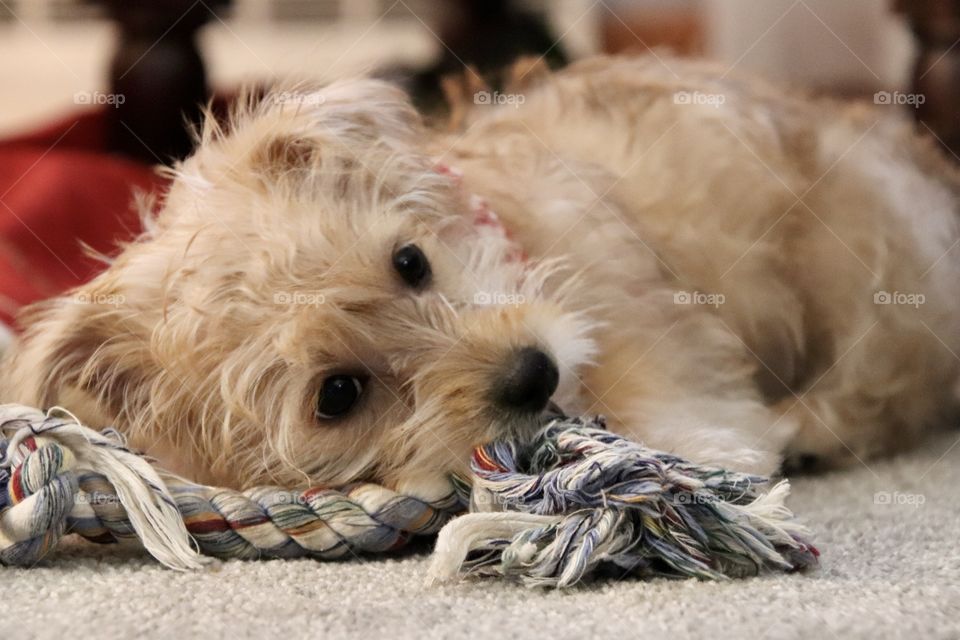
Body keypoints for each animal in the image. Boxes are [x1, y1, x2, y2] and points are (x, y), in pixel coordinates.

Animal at [1, 56, 960, 490]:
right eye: (338, 394)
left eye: (411, 261)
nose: (531, 372)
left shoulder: (632, 293)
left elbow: (655, 367)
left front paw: (701, 452)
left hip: (862, 250)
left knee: (890, 378)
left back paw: (813, 422)